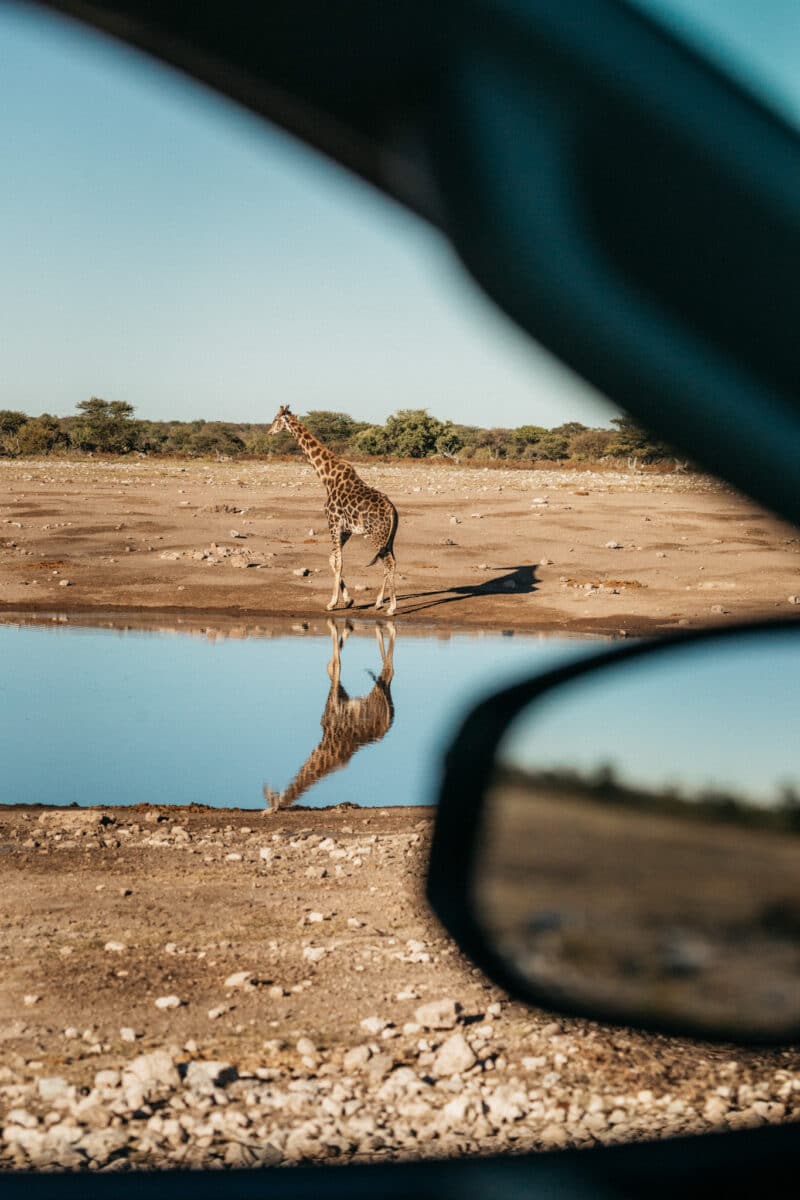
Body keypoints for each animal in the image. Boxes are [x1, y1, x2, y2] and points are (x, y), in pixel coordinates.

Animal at [263, 620, 396, 812]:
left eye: (271, 802)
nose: (267, 788)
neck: (324, 746)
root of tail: (388, 720)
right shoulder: (341, 695)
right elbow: (332, 664)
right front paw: (346, 626)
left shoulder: (335, 702)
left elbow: (335, 665)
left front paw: (337, 624)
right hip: (381, 690)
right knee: (388, 672)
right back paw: (381, 627)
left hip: (377, 693)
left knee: (388, 669)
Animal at [267, 405, 398, 615]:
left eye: (276, 419)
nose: (269, 431)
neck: (326, 477)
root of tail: (392, 510)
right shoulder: (345, 529)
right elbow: (332, 559)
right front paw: (348, 600)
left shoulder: (333, 522)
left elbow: (338, 561)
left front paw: (332, 603)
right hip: (388, 538)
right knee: (390, 561)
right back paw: (379, 602)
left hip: (376, 535)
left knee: (388, 563)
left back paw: (392, 607)